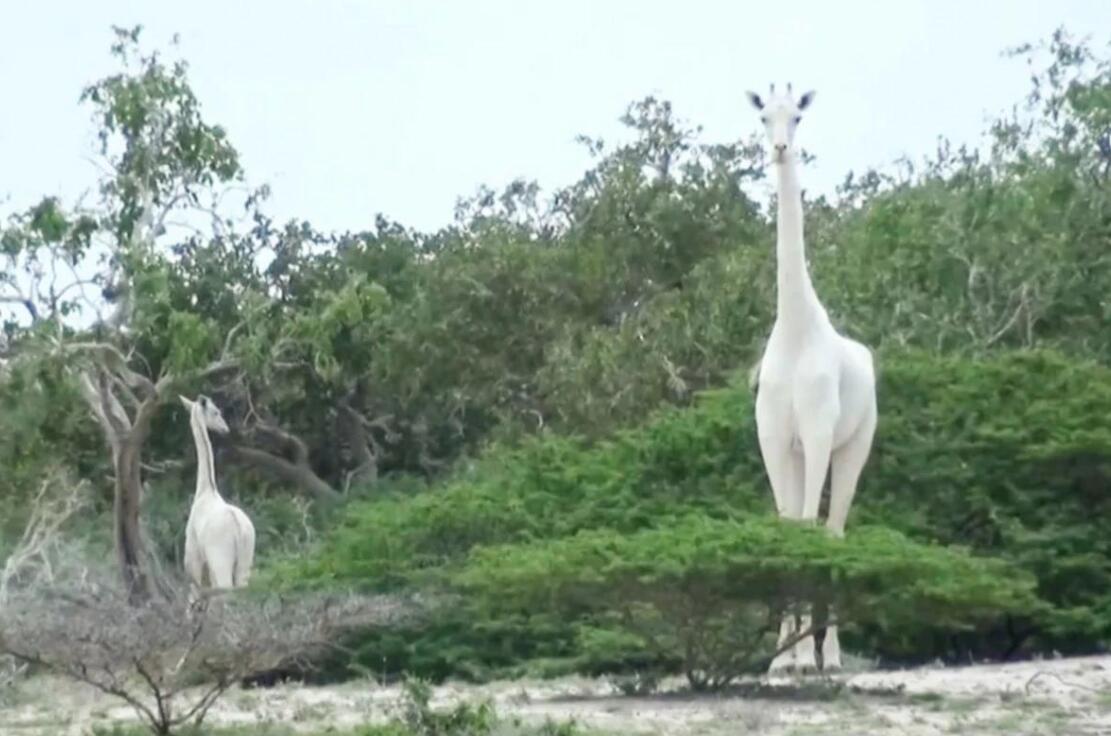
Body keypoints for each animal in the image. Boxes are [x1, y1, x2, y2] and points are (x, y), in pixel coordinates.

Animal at [178, 395, 254, 595]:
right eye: (215, 412)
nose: (225, 429)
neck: (205, 490)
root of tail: (238, 528)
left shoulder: (194, 561)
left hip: (221, 560)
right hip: (245, 562)